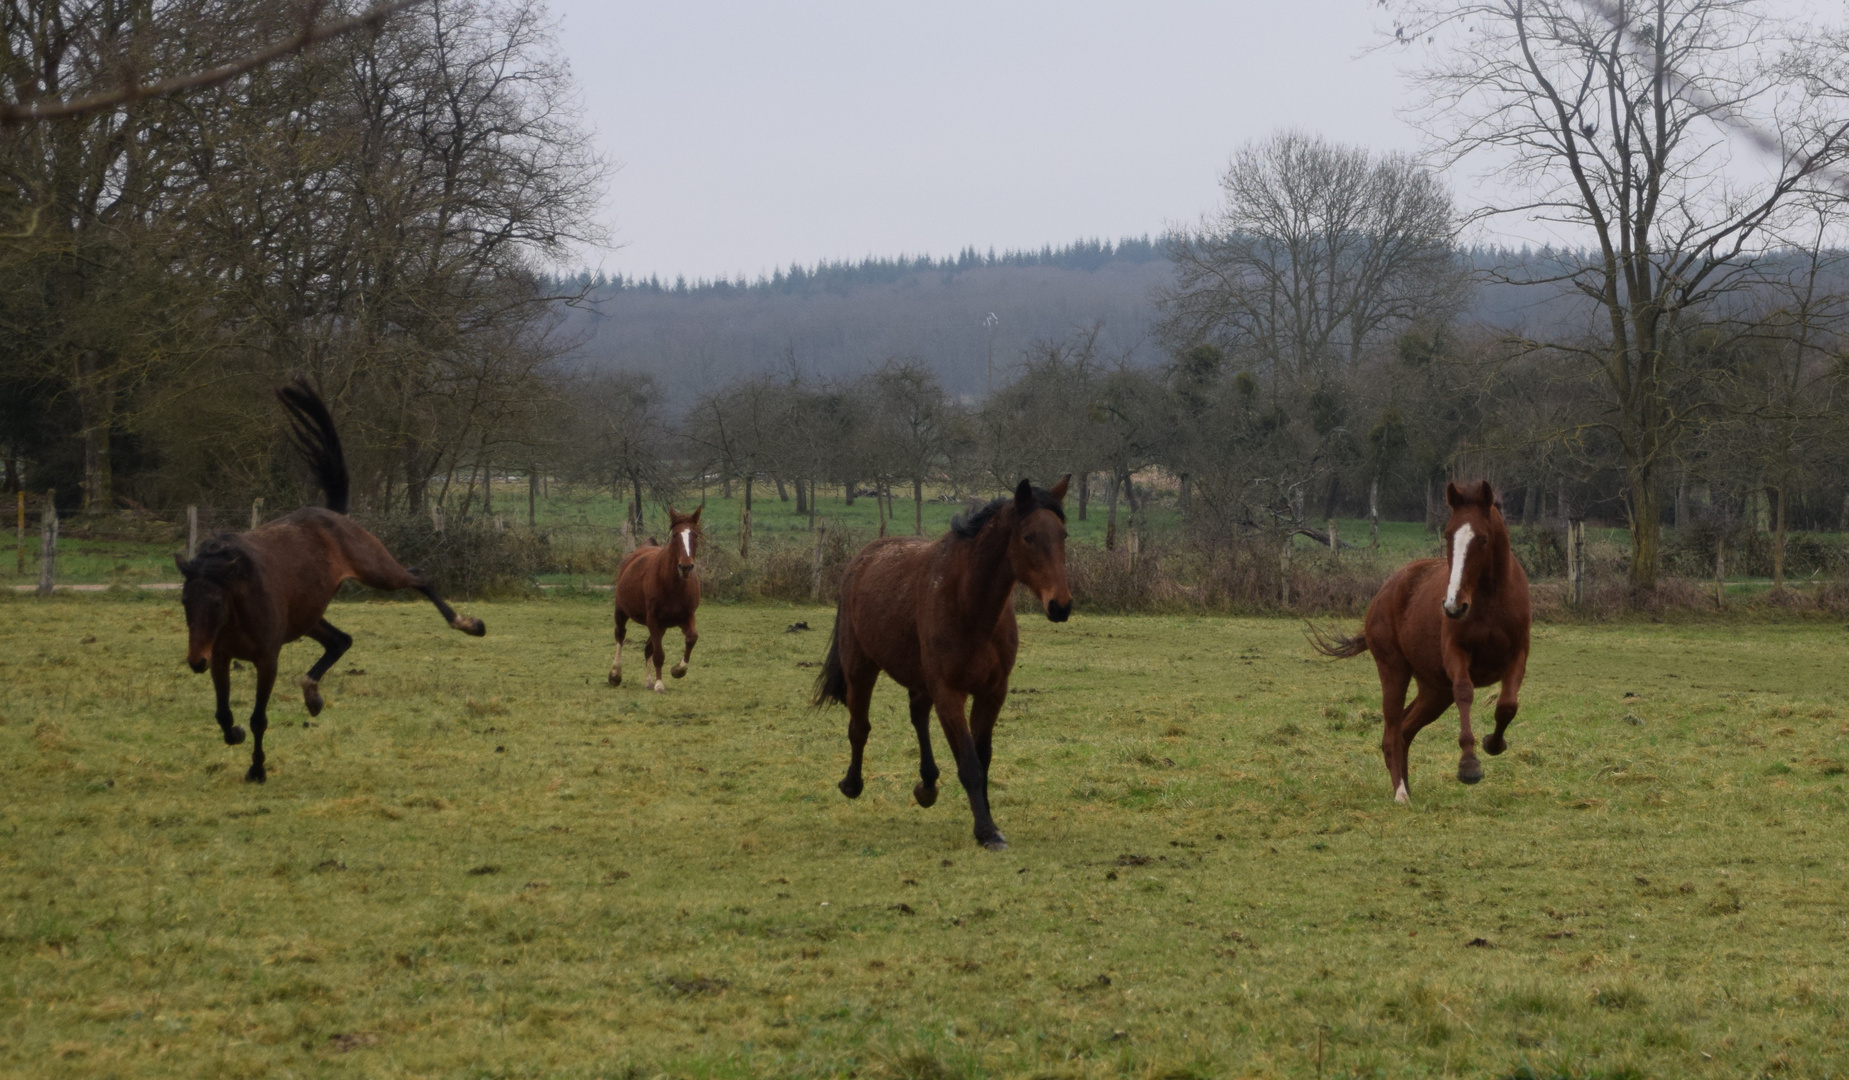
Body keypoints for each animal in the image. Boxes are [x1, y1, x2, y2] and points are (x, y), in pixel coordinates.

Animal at [174, 380, 484, 784]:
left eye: (215, 603)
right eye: (184, 603)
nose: (195, 661)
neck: (239, 599)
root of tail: (332, 513)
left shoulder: (266, 660)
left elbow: (259, 718)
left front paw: (257, 768)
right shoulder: (222, 657)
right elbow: (224, 713)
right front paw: (236, 735)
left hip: (376, 569)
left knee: (419, 576)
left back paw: (467, 624)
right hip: (308, 616)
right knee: (341, 640)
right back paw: (312, 695)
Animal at [606, 506, 698, 691]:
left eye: (696, 535)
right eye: (675, 535)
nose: (685, 567)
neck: (673, 585)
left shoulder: (686, 616)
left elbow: (692, 638)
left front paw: (678, 670)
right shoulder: (653, 619)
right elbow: (659, 654)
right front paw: (659, 684)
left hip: (661, 625)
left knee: (648, 647)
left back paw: (648, 681)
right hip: (621, 611)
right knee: (620, 635)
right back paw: (615, 674)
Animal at [817, 477, 1079, 846]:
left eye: (1063, 535)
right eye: (1029, 537)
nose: (1061, 605)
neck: (968, 605)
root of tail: (862, 559)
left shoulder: (992, 693)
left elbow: (983, 759)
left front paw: (988, 820)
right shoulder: (949, 692)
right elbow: (969, 763)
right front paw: (986, 831)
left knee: (917, 716)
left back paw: (927, 785)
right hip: (860, 668)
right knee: (860, 726)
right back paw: (852, 784)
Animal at [1316, 480, 1530, 802]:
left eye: (1482, 539)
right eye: (1448, 535)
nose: (1453, 606)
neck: (1491, 599)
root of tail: (1385, 590)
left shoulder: (1518, 654)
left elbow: (1507, 705)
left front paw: (1494, 743)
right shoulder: (1456, 653)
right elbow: (1465, 692)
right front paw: (1469, 765)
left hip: (1434, 691)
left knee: (1404, 729)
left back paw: (1407, 787)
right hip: (1394, 671)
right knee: (1393, 731)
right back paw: (1400, 793)